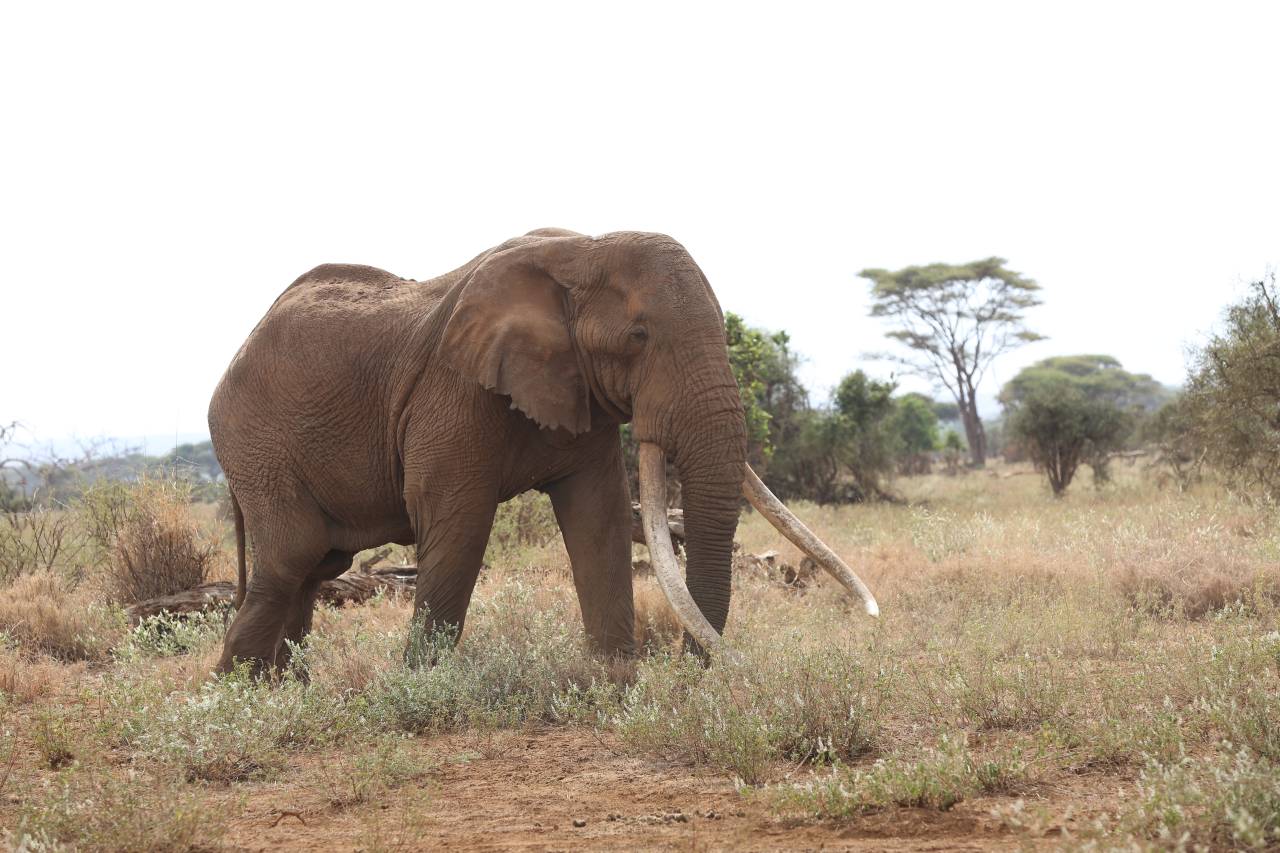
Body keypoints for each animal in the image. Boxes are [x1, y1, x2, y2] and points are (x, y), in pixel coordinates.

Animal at [212, 227, 880, 671]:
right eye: (639, 337)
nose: (695, 671)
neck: (583, 250)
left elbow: (599, 517)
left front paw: (614, 685)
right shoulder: (453, 390)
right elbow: (458, 523)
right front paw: (420, 687)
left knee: (315, 567)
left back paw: (285, 690)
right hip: (256, 442)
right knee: (291, 557)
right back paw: (238, 695)